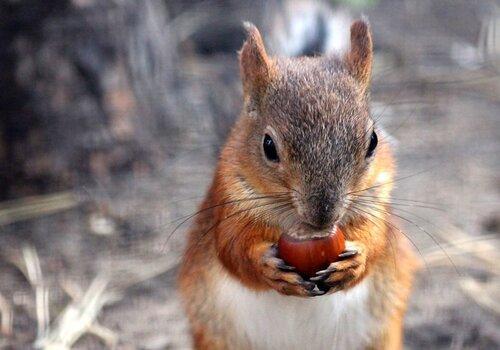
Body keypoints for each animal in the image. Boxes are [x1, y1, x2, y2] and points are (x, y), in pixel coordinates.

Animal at [178, 19, 420, 350]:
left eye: (373, 141)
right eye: (268, 146)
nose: (323, 216)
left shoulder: (377, 201)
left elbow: (377, 241)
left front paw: (356, 261)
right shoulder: (228, 202)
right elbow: (231, 250)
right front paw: (264, 266)